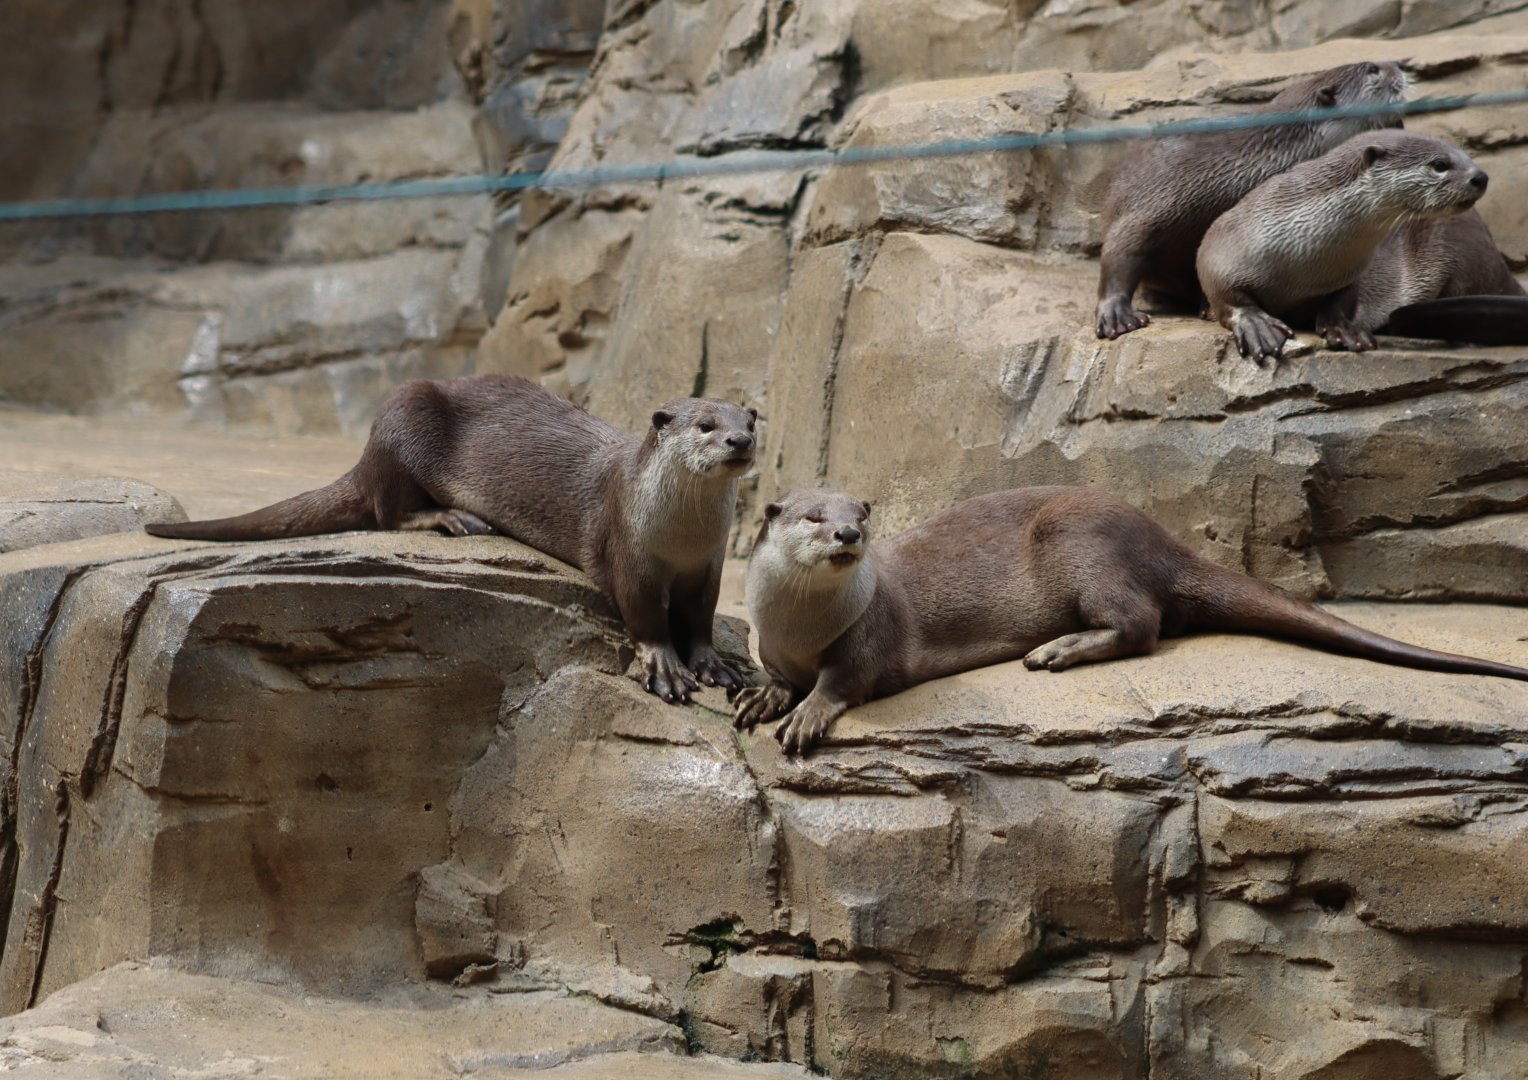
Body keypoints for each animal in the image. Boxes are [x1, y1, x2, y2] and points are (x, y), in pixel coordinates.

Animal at [146, 375, 758, 704]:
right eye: (704, 425)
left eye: (751, 420)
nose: (739, 440)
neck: (680, 538)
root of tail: (367, 450)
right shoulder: (626, 551)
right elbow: (646, 616)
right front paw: (666, 668)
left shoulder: (709, 565)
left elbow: (700, 619)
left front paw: (713, 664)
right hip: (405, 421)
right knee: (387, 510)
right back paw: (453, 519)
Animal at [734, 487, 1528, 755]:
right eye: (813, 516)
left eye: (859, 514)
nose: (847, 534)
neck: (798, 627)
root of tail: (1162, 541)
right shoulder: (772, 641)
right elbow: (774, 673)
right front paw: (764, 695)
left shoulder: (867, 638)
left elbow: (846, 680)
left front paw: (806, 714)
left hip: (1081, 543)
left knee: (1143, 623)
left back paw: (1058, 650)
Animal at [1197, 130, 1502, 361]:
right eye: (1439, 164)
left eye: (1467, 156)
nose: (1481, 176)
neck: (1303, 263)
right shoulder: (1220, 245)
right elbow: (1226, 294)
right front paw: (1255, 324)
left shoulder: (1349, 273)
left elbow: (1342, 300)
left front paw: (1345, 331)